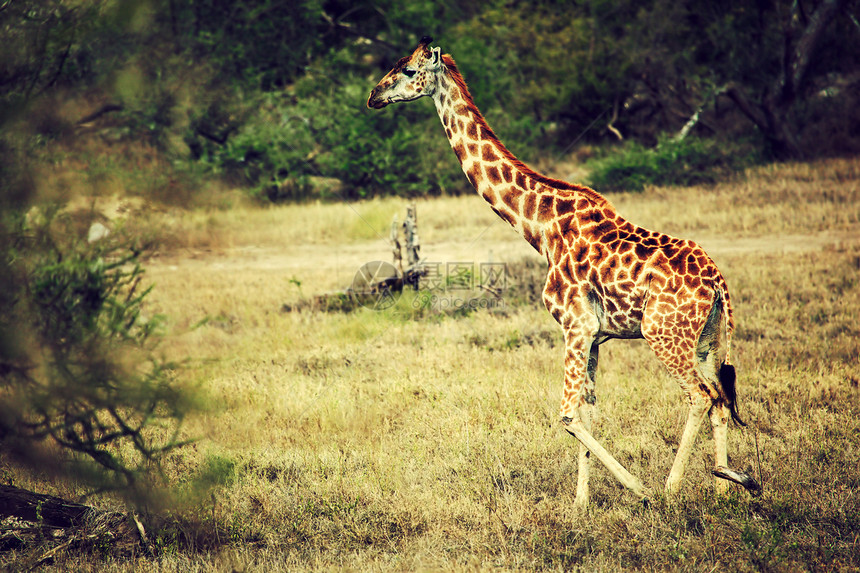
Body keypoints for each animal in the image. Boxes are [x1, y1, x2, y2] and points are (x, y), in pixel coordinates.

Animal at [368, 36, 760, 504]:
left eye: (409, 71)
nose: (373, 96)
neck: (539, 227)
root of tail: (718, 284)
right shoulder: (594, 335)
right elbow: (588, 412)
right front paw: (581, 505)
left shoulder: (575, 325)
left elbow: (567, 416)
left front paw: (636, 489)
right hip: (707, 338)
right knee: (719, 396)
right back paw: (726, 484)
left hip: (662, 332)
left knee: (700, 396)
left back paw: (671, 489)